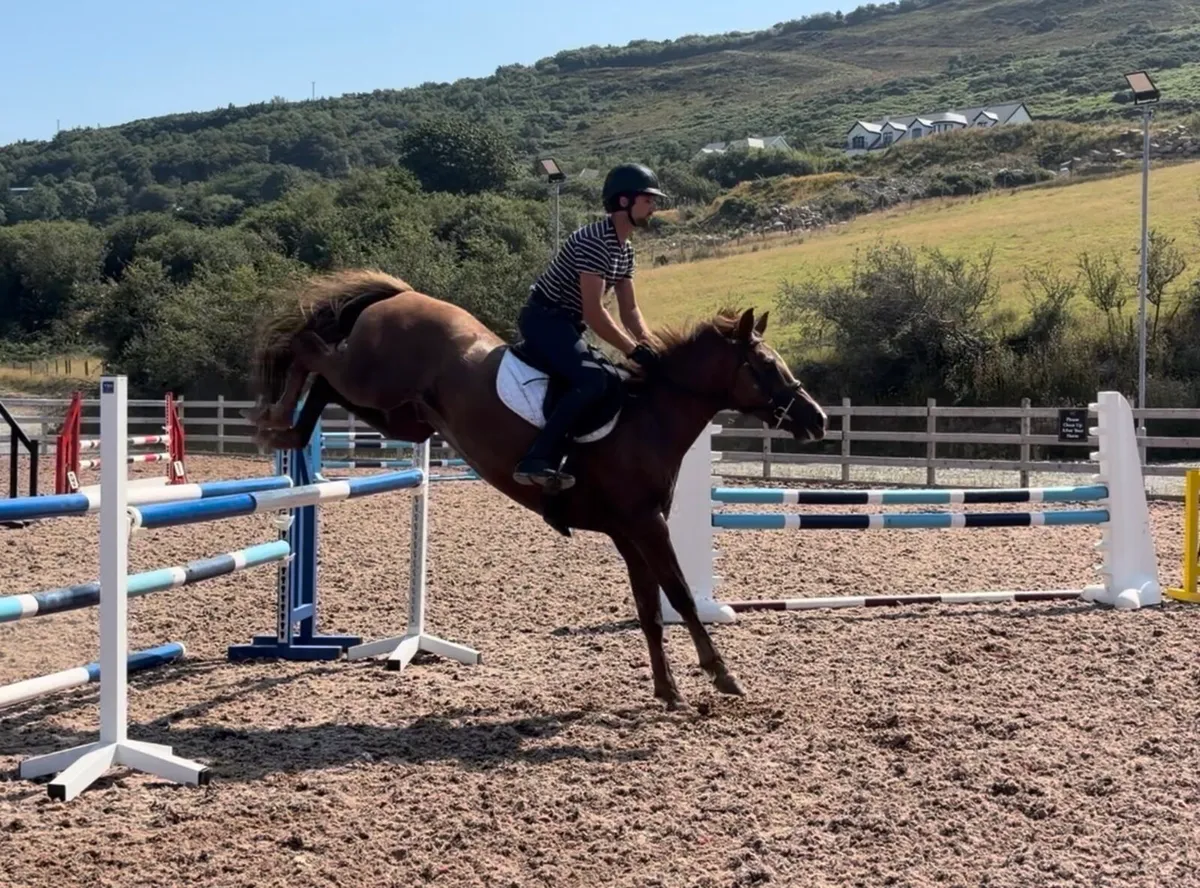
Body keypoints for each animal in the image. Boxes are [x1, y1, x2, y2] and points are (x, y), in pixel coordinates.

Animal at [245, 269, 827, 709]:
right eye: (767, 364)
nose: (817, 419)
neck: (649, 417)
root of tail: (402, 294)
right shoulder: (646, 525)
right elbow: (680, 596)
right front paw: (721, 674)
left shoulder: (629, 532)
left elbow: (648, 609)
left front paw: (667, 690)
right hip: (376, 382)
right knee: (310, 350)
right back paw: (274, 418)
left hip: (399, 415)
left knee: (324, 381)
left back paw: (287, 430)